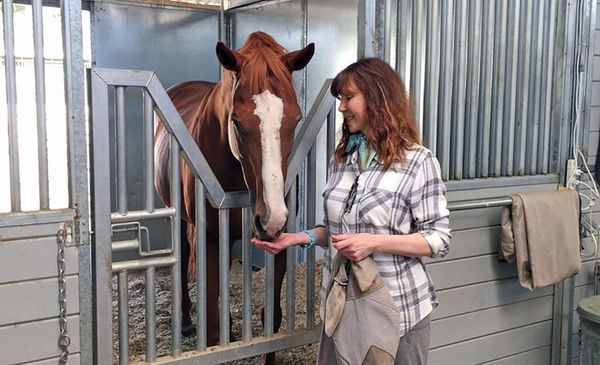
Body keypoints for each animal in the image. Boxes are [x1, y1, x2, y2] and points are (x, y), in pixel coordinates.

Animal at [154, 32, 314, 354]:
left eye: (296, 119)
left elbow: (272, 319)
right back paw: (186, 321)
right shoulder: (208, 238)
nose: (272, 218)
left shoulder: (278, 243)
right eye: (237, 122)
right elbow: (213, 330)